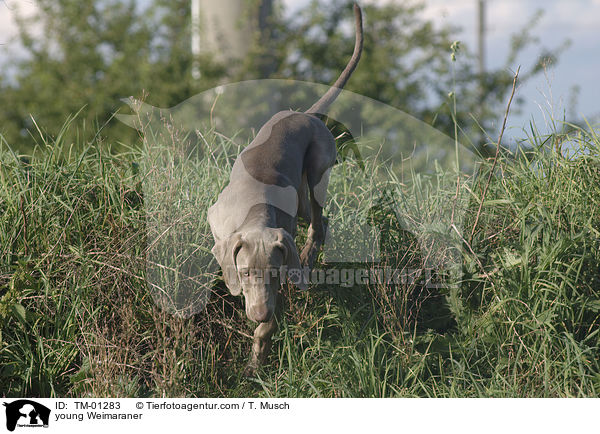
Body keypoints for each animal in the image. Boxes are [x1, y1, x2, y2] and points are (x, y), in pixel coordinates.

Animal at [209, 2, 364, 376]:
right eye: (245, 272)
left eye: (274, 273)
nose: (259, 312)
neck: (254, 214)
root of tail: (306, 114)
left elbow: (267, 329)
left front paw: (256, 360)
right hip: (304, 192)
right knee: (319, 218)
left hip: (318, 167)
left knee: (320, 222)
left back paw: (308, 256)